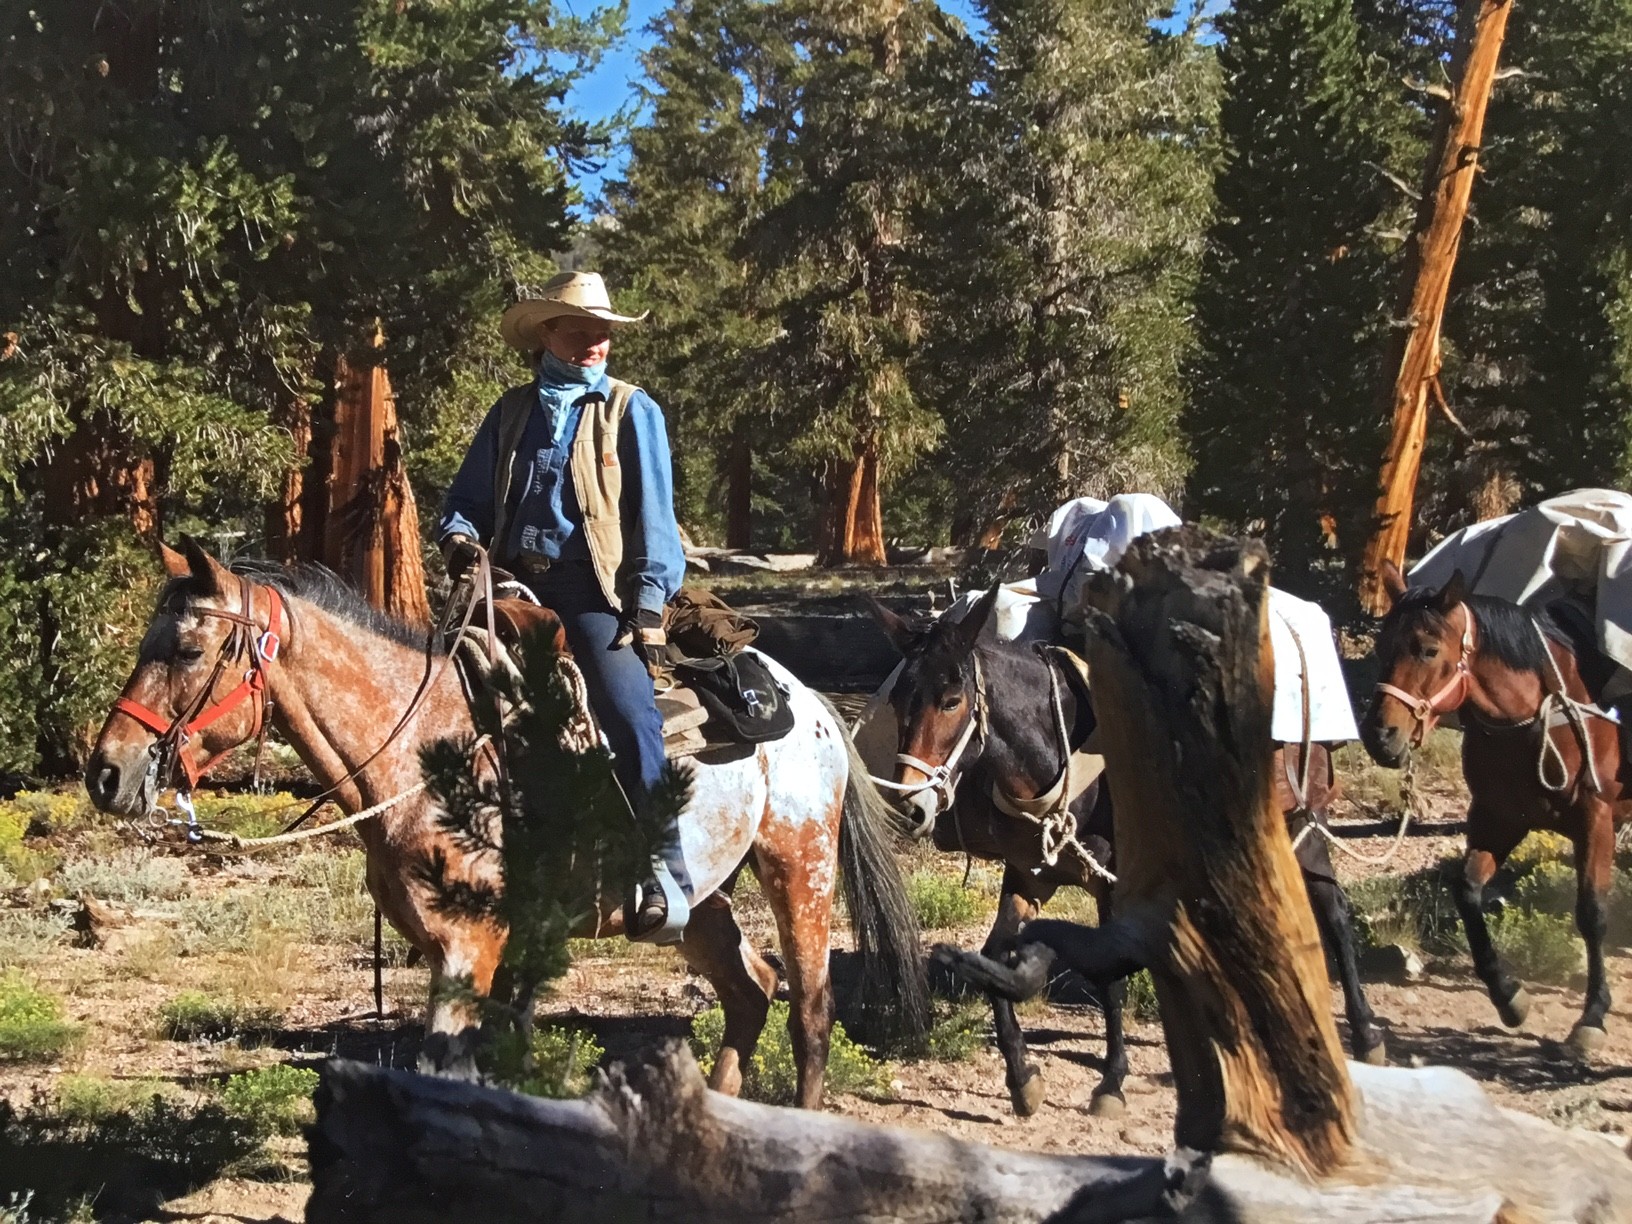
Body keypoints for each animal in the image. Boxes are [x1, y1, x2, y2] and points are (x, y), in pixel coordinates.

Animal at [86, 541, 933, 1109]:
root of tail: (809, 701)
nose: (106, 773)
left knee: (811, 1008)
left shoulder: (469, 945)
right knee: (752, 989)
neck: (427, 754)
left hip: (800, 864)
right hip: (701, 902)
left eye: (186, 648)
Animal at [874, 590, 1383, 1116]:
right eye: (897, 699)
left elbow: (1109, 976)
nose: (908, 805)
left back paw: (1365, 1034)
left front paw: (1111, 1082)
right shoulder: (1031, 872)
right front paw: (1023, 1078)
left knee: (1333, 913)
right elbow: (996, 954)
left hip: (1302, 823)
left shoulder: (1111, 880)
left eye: (951, 701)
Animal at [1364, 564, 1632, 1057]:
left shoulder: (1597, 818)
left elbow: (1592, 913)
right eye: (1381, 647)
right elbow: (1468, 892)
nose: (1380, 735)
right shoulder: (1497, 818)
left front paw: (1593, 1016)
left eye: (1428, 649)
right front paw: (1509, 996)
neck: (1535, 714)